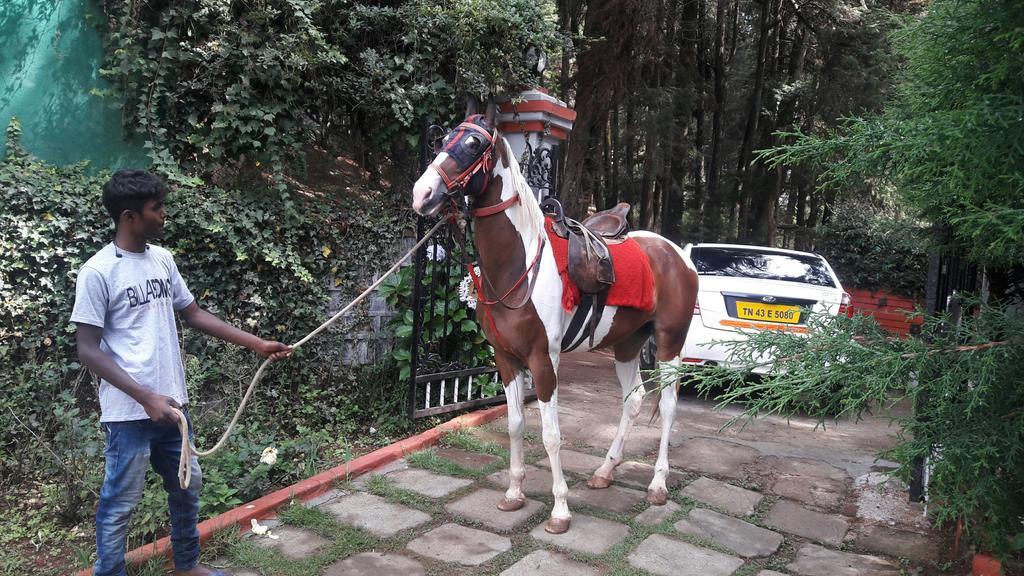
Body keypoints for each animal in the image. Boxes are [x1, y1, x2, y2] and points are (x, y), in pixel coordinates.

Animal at [411, 105, 700, 532]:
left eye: (474, 143)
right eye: (442, 139)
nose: (422, 193)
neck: (518, 264)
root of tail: (678, 254)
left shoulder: (543, 360)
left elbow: (550, 435)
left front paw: (560, 509)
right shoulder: (506, 359)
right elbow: (515, 425)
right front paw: (513, 494)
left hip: (669, 343)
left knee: (667, 405)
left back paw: (658, 485)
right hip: (627, 344)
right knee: (633, 400)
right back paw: (604, 472)